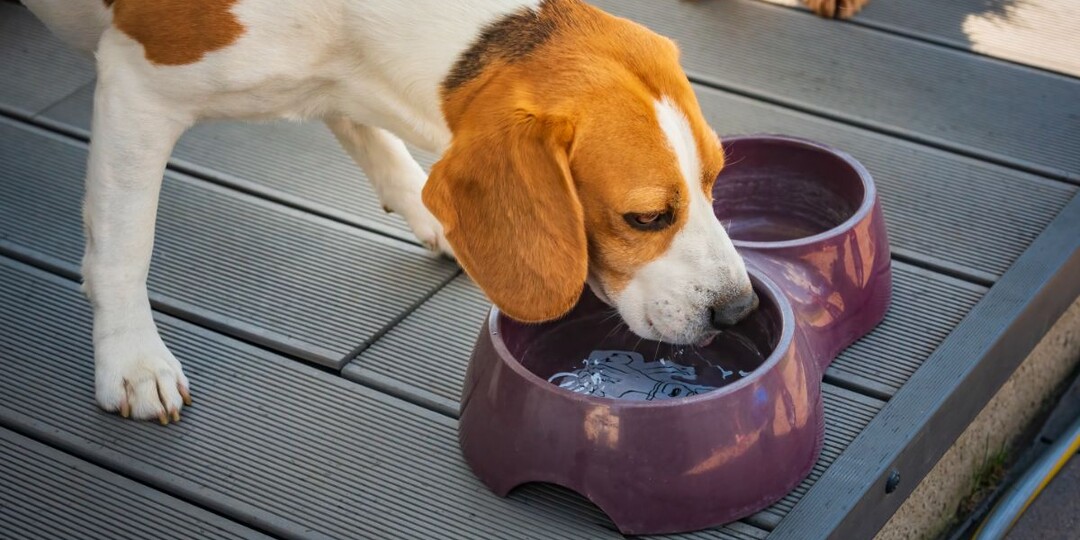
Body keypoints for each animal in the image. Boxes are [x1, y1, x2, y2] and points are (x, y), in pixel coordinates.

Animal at [16, 0, 846, 423]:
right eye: (646, 218)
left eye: (716, 182)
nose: (737, 310)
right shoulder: (136, 83)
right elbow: (123, 246)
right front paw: (132, 360)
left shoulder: (340, 81)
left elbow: (371, 136)